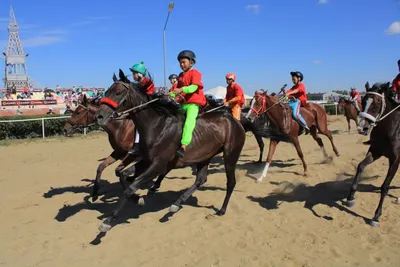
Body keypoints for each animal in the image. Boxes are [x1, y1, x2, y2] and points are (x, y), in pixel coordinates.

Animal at [95, 70, 248, 233]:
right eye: (106, 91)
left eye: (118, 92)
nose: (99, 116)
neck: (156, 126)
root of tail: (234, 121)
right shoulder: (147, 160)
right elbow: (123, 175)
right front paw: (137, 198)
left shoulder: (159, 164)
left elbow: (131, 186)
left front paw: (108, 220)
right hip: (204, 156)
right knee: (200, 179)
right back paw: (176, 203)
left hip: (230, 155)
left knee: (231, 182)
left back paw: (222, 209)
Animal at [344, 82, 400, 228]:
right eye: (363, 101)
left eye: (377, 102)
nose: (362, 127)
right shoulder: (376, 151)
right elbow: (361, 166)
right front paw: (351, 197)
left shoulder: (395, 159)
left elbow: (385, 186)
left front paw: (376, 216)